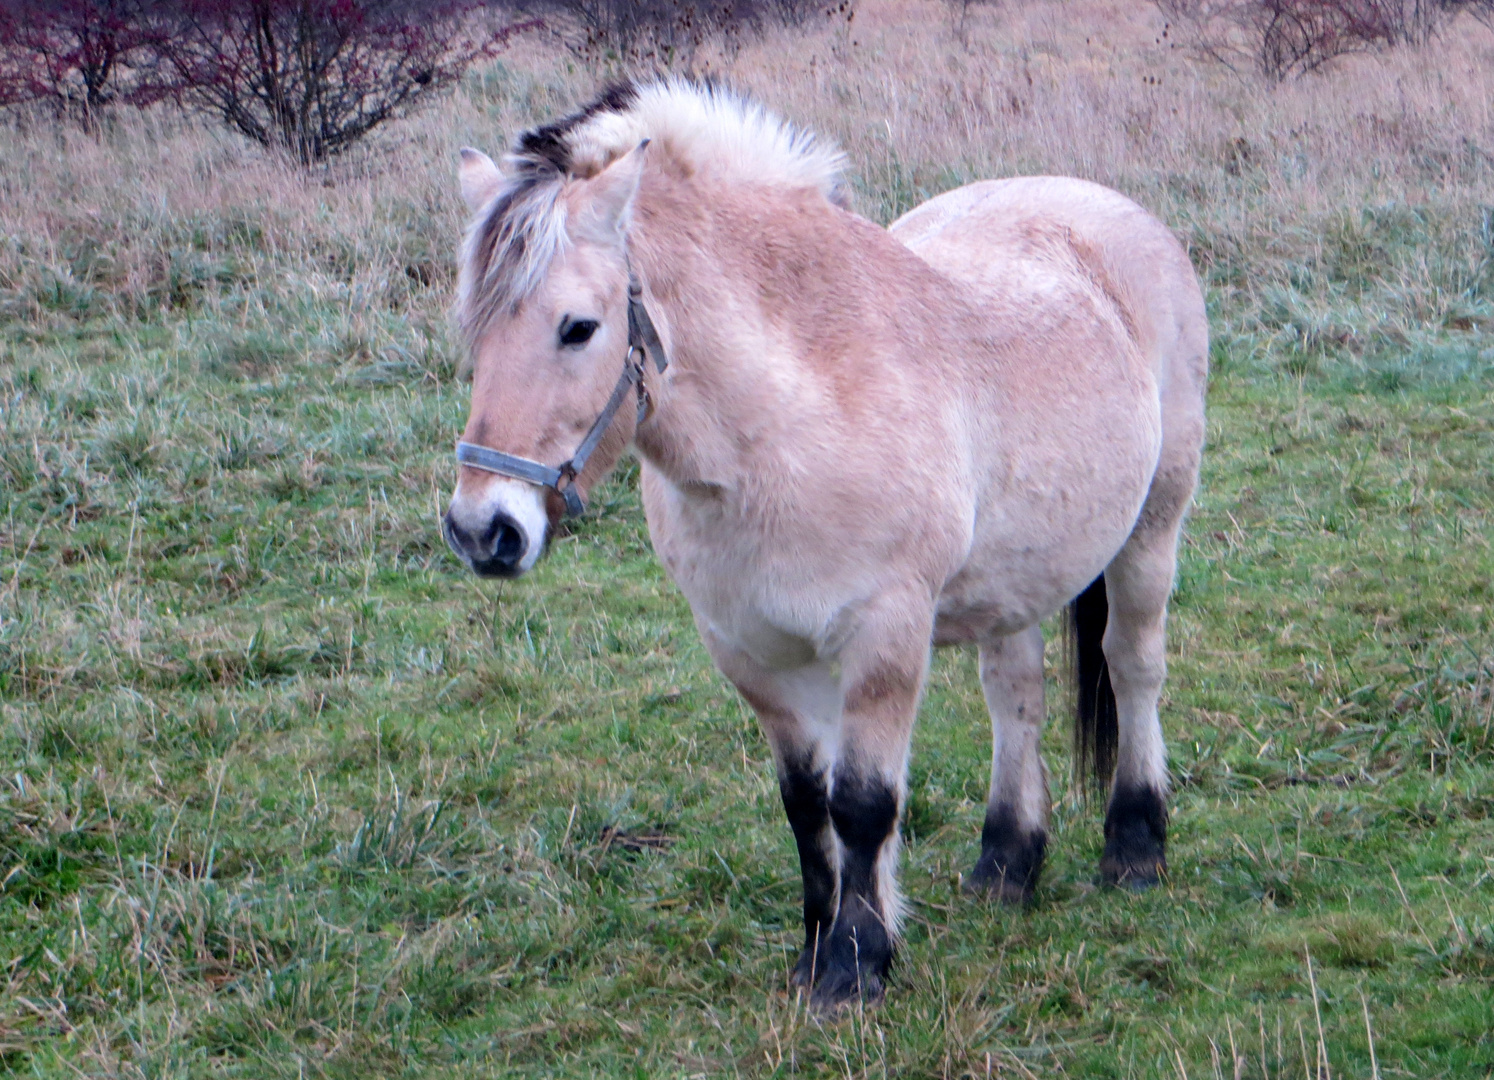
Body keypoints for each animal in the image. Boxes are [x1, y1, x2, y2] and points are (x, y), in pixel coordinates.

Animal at [445, 78, 1213, 1015]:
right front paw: (819, 949)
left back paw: (1135, 845)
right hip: (1015, 579)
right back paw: (1006, 862)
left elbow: (864, 805)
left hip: (1152, 529)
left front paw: (855, 966)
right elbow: (807, 805)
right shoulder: (755, 653)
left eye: (578, 328)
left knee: (1133, 667)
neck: (790, 418)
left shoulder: (885, 636)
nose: (483, 529)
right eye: (475, 332)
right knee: (1017, 700)